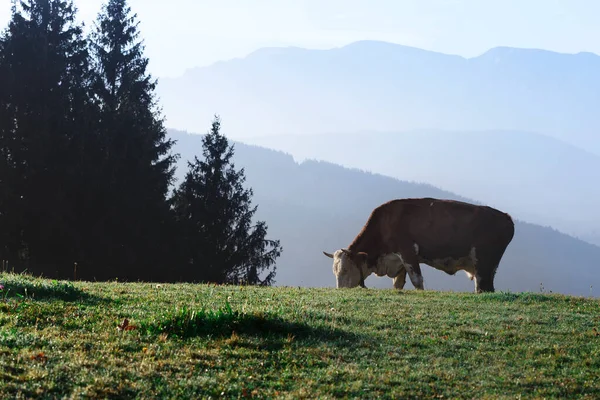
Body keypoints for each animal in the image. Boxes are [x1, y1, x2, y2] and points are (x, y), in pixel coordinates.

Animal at [324, 198, 516, 292]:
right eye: (334, 270)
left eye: (345, 269)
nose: (340, 290)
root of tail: (506, 217)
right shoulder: (398, 262)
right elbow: (398, 283)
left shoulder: (408, 252)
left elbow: (417, 280)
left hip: (484, 264)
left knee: (484, 288)